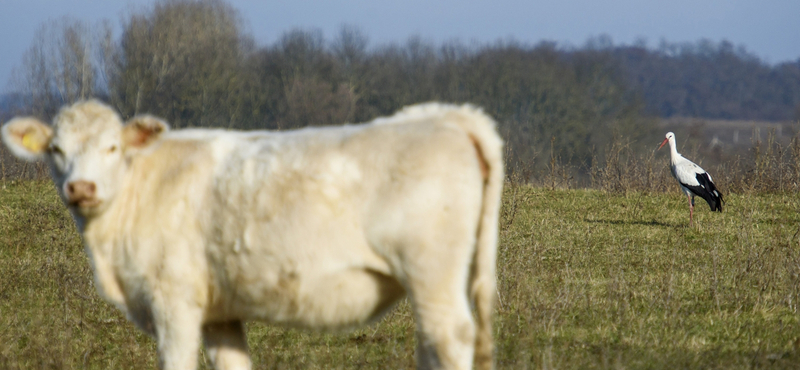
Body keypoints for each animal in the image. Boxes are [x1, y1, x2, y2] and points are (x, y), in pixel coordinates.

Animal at [0, 100, 504, 370]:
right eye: (56, 149)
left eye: (112, 147)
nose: (81, 187)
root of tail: (445, 116)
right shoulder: (219, 311)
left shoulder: (173, 300)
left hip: (431, 269)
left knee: (450, 336)